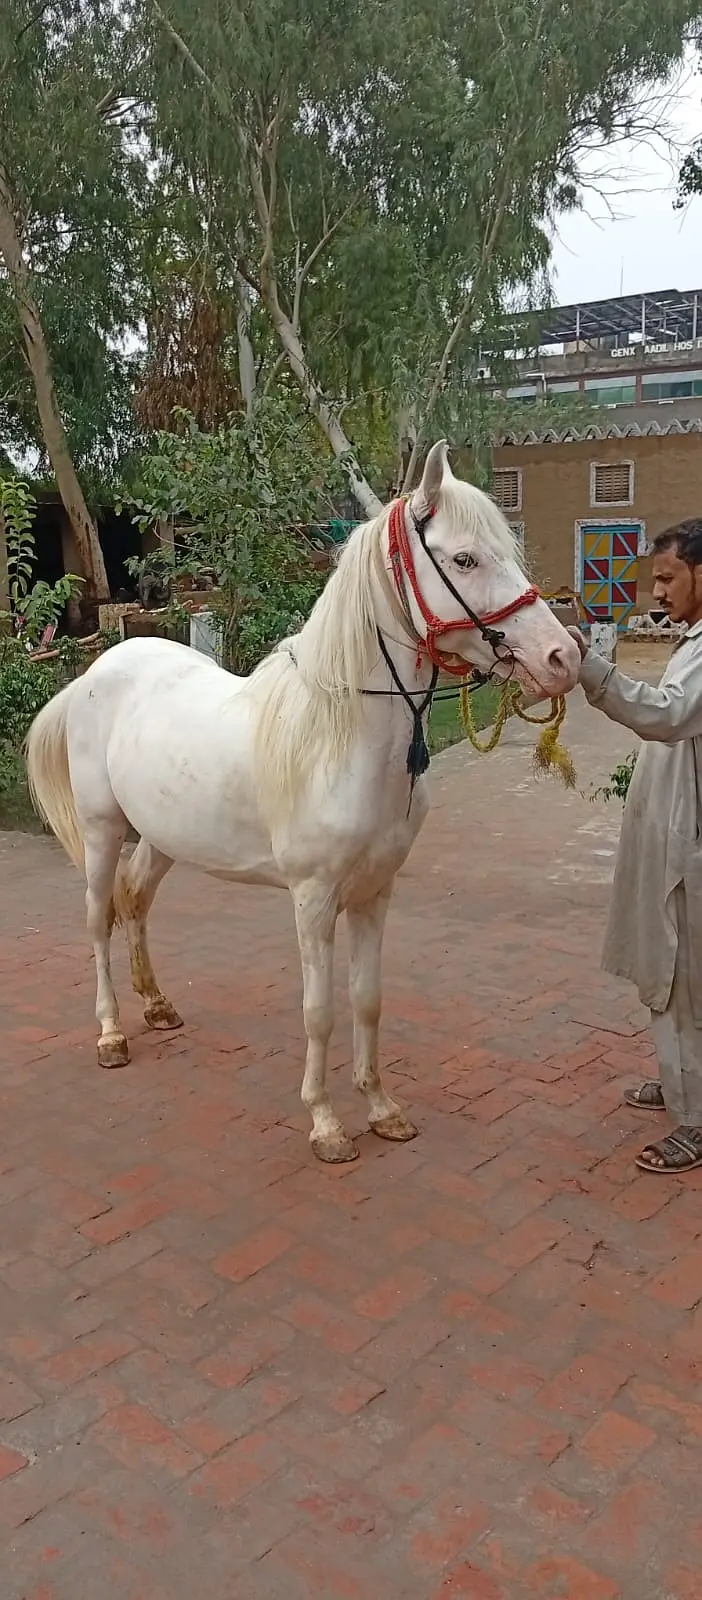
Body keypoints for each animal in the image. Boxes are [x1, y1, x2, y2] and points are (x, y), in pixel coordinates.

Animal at [25, 441, 580, 1164]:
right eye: (464, 559)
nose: (563, 656)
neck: (341, 735)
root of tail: (93, 675)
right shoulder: (314, 900)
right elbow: (319, 1011)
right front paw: (326, 1124)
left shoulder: (375, 894)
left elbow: (367, 1000)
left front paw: (382, 1108)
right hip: (101, 832)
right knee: (99, 920)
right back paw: (113, 1032)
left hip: (162, 839)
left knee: (135, 902)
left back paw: (157, 1006)